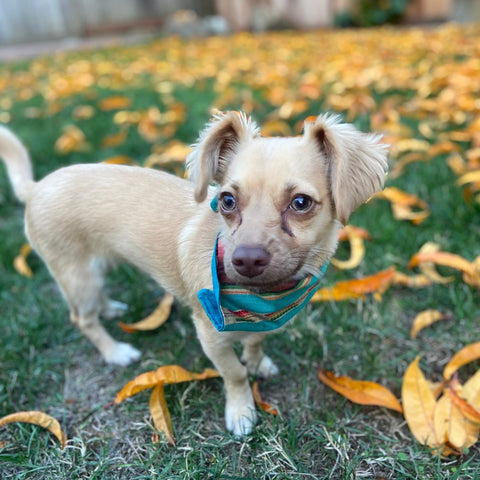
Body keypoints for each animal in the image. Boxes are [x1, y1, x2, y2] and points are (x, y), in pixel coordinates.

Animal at [0, 111, 388, 436]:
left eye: (301, 203)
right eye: (227, 201)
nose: (245, 260)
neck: (263, 299)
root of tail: (35, 187)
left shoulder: (266, 323)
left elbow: (256, 342)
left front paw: (257, 361)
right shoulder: (211, 337)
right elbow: (234, 373)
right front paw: (241, 410)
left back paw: (110, 308)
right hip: (80, 276)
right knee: (83, 319)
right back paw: (115, 351)